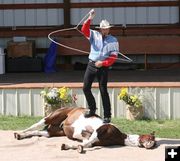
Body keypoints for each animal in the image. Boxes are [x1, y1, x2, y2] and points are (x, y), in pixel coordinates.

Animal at [14, 107, 155, 153]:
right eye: (150, 138)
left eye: (153, 142)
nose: (150, 145)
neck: (118, 135)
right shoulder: (98, 131)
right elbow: (86, 144)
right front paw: (79, 148)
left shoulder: (90, 137)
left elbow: (86, 143)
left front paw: (68, 146)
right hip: (50, 118)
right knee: (34, 126)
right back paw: (19, 133)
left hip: (54, 131)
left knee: (38, 132)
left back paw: (21, 136)